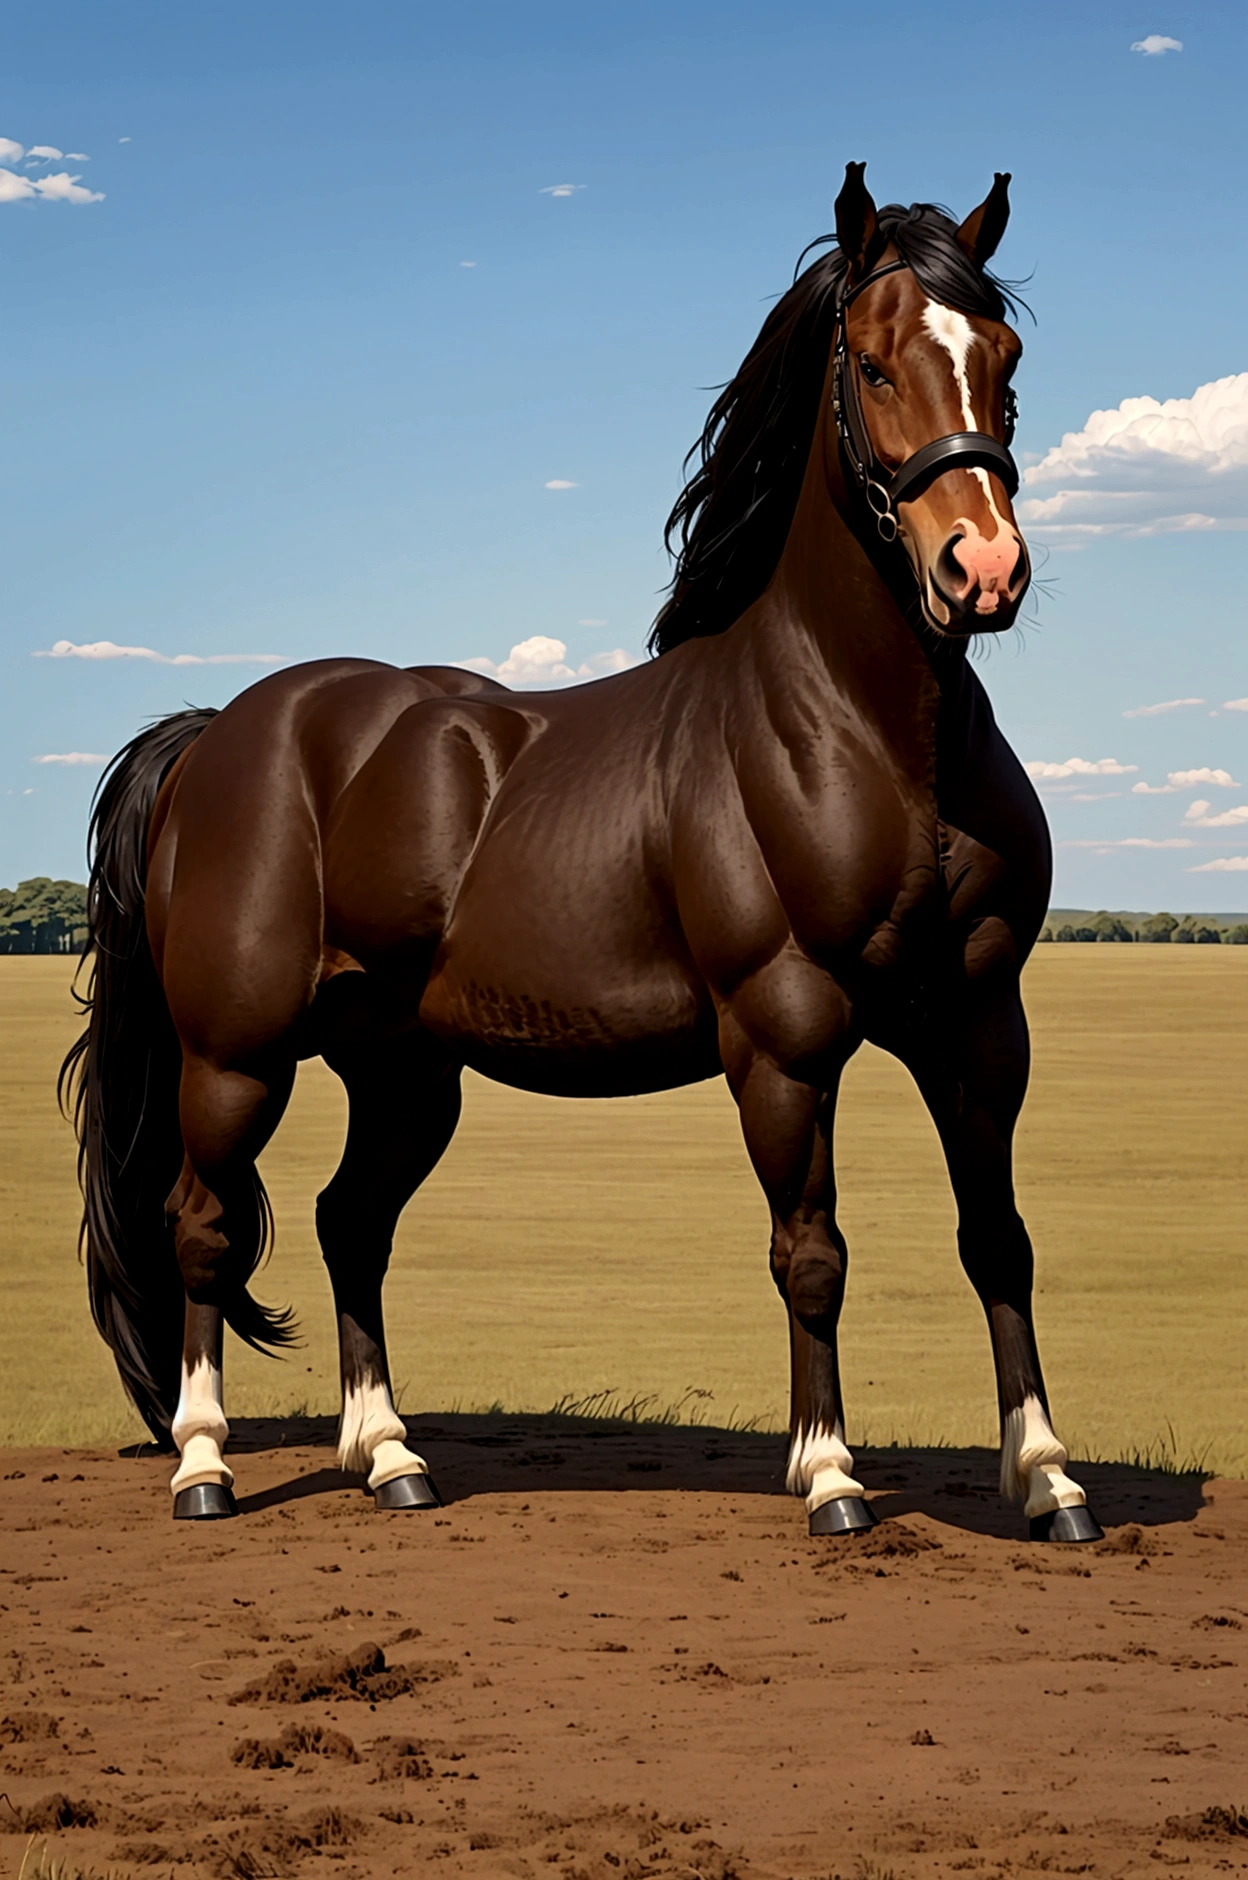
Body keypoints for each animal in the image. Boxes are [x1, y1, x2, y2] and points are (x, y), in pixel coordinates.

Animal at [63, 162, 1103, 1544]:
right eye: (875, 364)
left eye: (1005, 358)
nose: (981, 567)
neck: (873, 738)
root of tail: (223, 729)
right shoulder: (784, 1033)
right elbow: (811, 1249)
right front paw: (829, 1474)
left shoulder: (980, 1022)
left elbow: (1000, 1237)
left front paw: (1048, 1475)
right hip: (235, 1057)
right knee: (202, 1227)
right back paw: (204, 1465)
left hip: (402, 1068)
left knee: (350, 1223)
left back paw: (390, 1457)